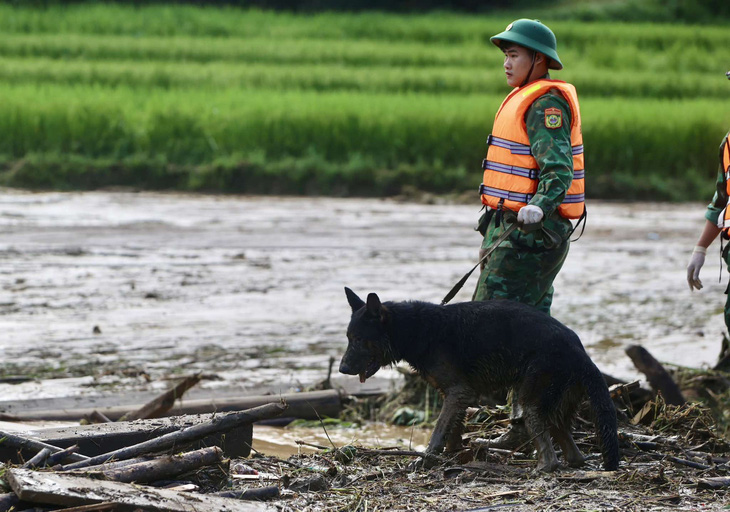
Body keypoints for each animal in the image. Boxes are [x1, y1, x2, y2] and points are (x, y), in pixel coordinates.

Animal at [338, 288, 616, 472]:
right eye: (348, 337)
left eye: (360, 339)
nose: (341, 369)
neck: (413, 329)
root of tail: (580, 352)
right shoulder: (455, 395)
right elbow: (453, 429)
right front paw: (452, 454)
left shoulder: (458, 392)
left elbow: (438, 431)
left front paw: (427, 459)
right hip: (555, 405)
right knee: (572, 453)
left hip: (532, 401)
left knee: (550, 458)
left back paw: (540, 468)